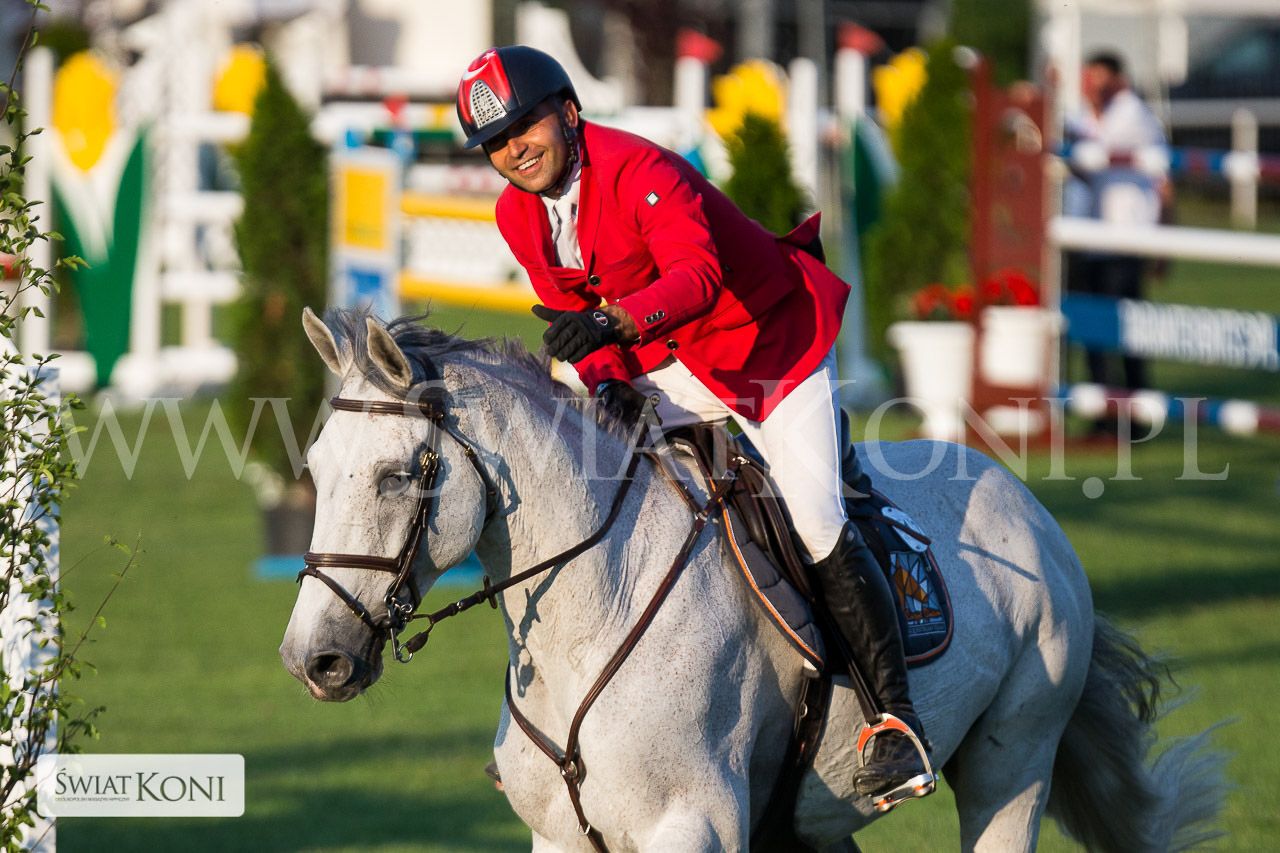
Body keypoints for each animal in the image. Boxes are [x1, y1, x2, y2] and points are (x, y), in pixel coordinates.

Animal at [280, 308, 1224, 852]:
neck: (597, 606)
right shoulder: (566, 837)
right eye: (317, 469)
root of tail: (1024, 502)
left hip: (1014, 760)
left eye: (398, 475)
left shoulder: (689, 825)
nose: (311, 660)